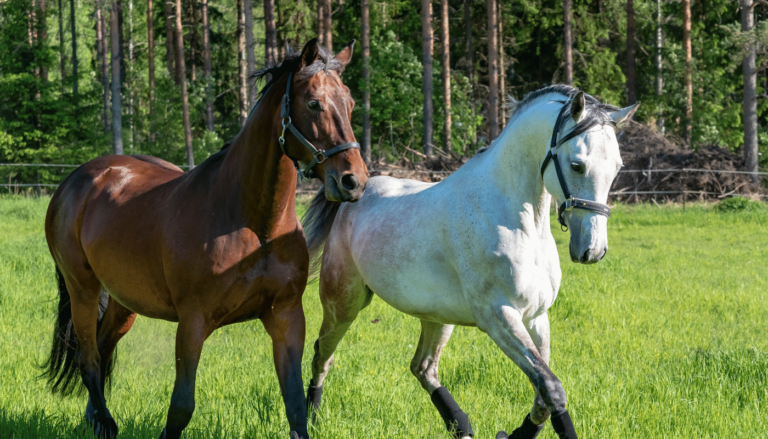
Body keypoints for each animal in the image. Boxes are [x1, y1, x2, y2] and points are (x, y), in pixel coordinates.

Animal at [40, 39, 370, 438]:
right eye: (313, 103)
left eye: (350, 104)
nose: (353, 181)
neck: (254, 225)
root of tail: (77, 180)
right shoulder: (192, 323)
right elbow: (181, 407)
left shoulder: (287, 317)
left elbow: (295, 407)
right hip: (83, 289)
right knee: (88, 358)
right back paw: (104, 422)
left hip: (123, 301)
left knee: (102, 352)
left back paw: (95, 419)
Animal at [304, 86, 640, 439]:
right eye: (577, 165)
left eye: (617, 167)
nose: (593, 250)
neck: (518, 222)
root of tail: (351, 195)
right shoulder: (498, 316)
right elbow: (552, 389)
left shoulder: (537, 317)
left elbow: (543, 396)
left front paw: (513, 434)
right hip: (344, 303)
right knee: (322, 356)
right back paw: (309, 421)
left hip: (436, 317)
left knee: (423, 368)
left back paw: (461, 427)